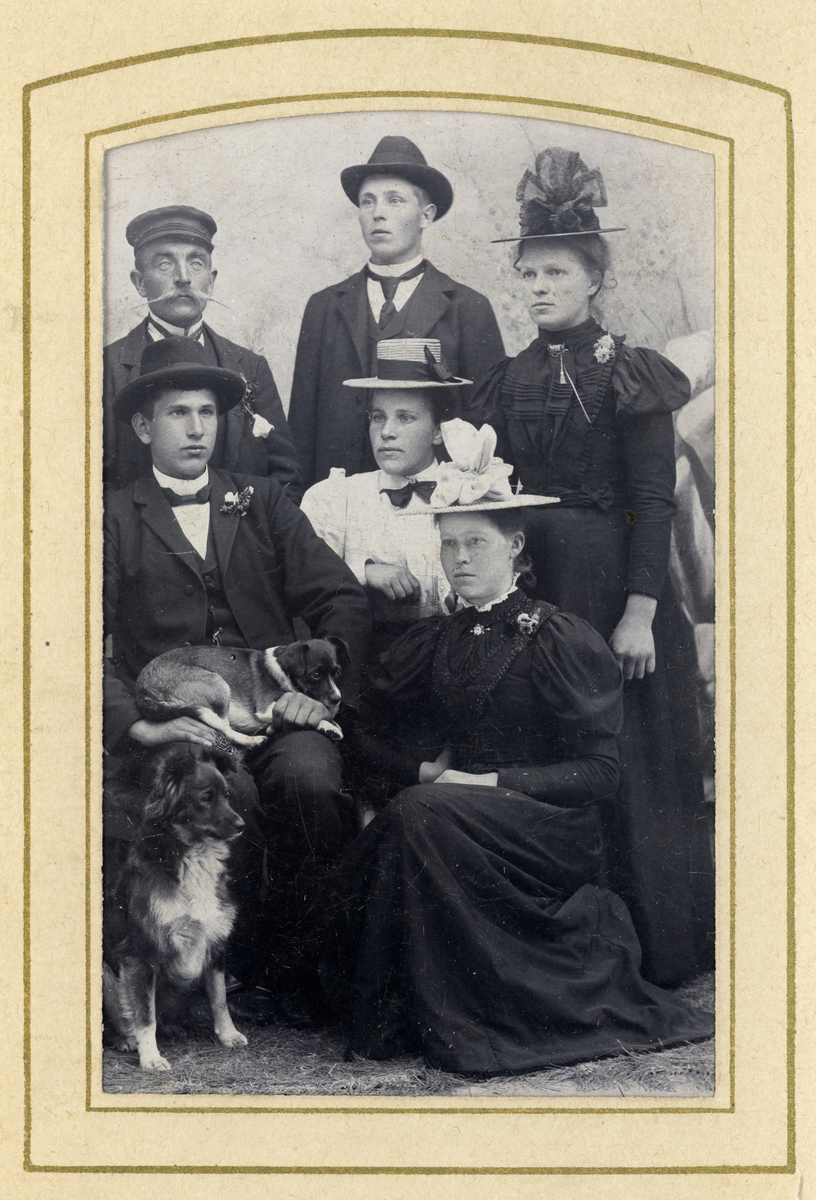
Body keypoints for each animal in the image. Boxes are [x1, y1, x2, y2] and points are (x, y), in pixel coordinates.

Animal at [103, 743, 248, 1071]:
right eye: (206, 797)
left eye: (227, 795)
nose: (241, 826)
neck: (193, 856)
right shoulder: (139, 952)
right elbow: (144, 1013)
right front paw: (151, 1056)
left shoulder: (215, 942)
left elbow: (219, 998)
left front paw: (228, 1034)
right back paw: (127, 1040)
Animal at [134, 638, 350, 752]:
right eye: (315, 675)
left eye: (338, 672)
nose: (337, 699)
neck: (283, 670)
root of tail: (142, 690)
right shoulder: (267, 708)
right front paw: (329, 725)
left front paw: (332, 725)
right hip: (218, 686)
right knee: (226, 730)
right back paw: (252, 741)